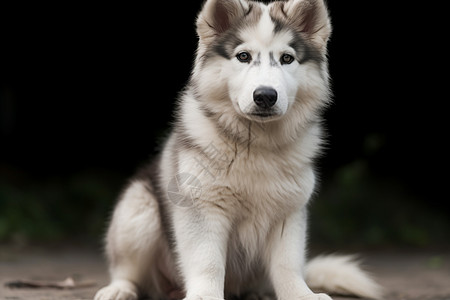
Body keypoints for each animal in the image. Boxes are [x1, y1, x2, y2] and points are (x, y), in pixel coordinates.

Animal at [93, 0, 382, 300]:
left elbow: (288, 263)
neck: (256, 145)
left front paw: (301, 294)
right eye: (243, 56)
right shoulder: (203, 207)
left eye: (287, 59)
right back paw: (120, 288)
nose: (265, 96)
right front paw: (205, 296)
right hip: (137, 211)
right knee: (127, 269)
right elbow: (208, 261)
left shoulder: (288, 212)